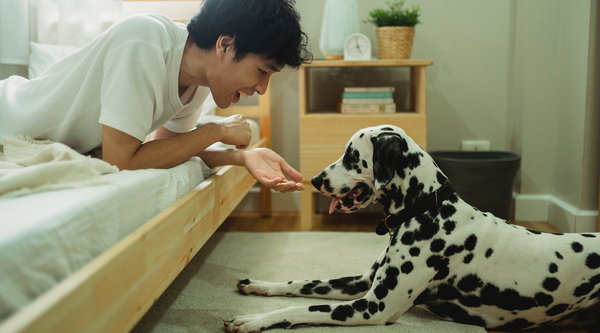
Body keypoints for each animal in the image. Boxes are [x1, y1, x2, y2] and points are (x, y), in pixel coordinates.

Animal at [225, 125, 600, 332]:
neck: (427, 209)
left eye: (351, 156)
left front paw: (252, 320)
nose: (315, 180)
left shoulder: (372, 306)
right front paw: (260, 286)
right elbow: (301, 283)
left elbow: (302, 308)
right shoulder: (361, 283)